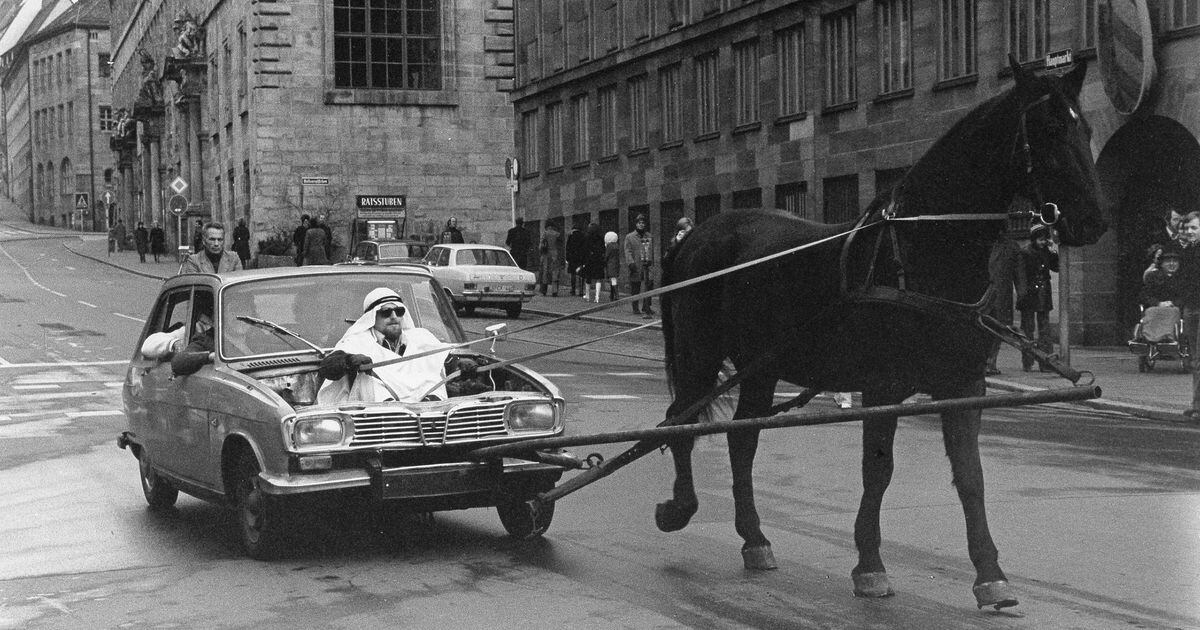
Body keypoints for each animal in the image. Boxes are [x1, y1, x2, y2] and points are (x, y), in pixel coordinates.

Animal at [657, 58, 1104, 609]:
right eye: (1047, 129)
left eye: (1085, 128)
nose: (1094, 220)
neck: (923, 248)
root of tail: (693, 236)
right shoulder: (883, 386)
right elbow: (879, 469)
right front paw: (870, 564)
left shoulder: (964, 386)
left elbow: (970, 476)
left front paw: (990, 574)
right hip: (700, 355)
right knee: (680, 421)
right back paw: (681, 507)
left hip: (760, 368)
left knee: (742, 440)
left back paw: (755, 538)